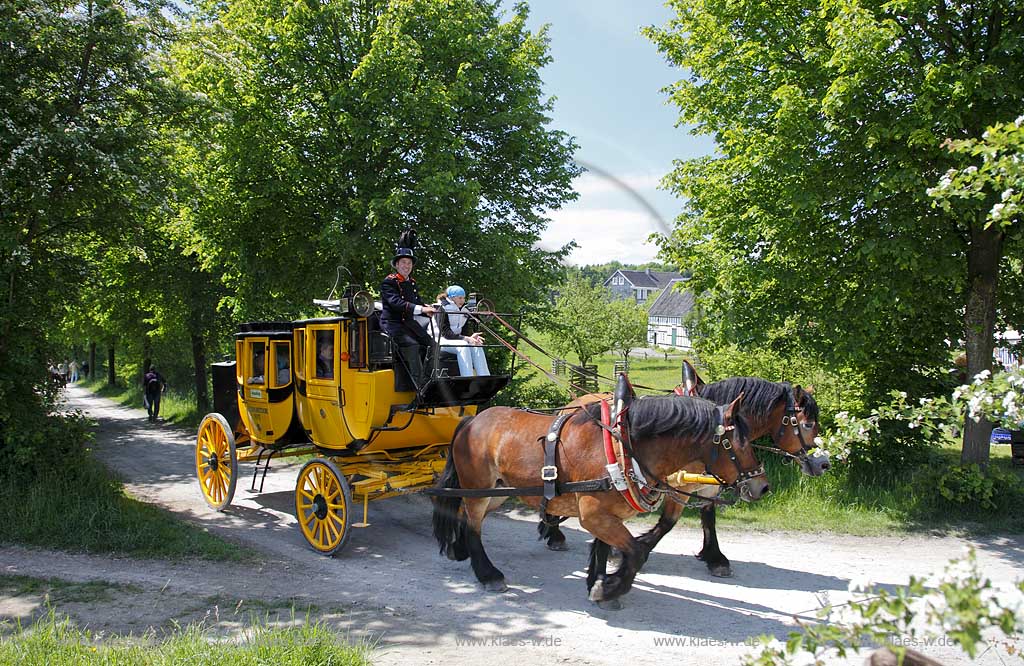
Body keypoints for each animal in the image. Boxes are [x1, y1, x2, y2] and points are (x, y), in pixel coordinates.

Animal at [428, 391, 765, 602]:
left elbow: (605, 549)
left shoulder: (607, 514)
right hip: (479, 488)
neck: (624, 448)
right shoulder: (594, 515)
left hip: (497, 490)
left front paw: (598, 580)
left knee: (465, 516)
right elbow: (637, 553)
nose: (762, 486)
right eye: (738, 443)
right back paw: (487, 573)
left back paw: (459, 549)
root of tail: (472, 421)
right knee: (474, 524)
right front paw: (610, 588)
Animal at [540, 372, 827, 573]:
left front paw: (714, 557)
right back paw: (555, 533)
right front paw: (631, 551)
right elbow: (668, 523)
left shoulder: (708, 483)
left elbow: (709, 517)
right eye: (807, 424)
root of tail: (575, 401)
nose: (823, 463)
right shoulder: (679, 486)